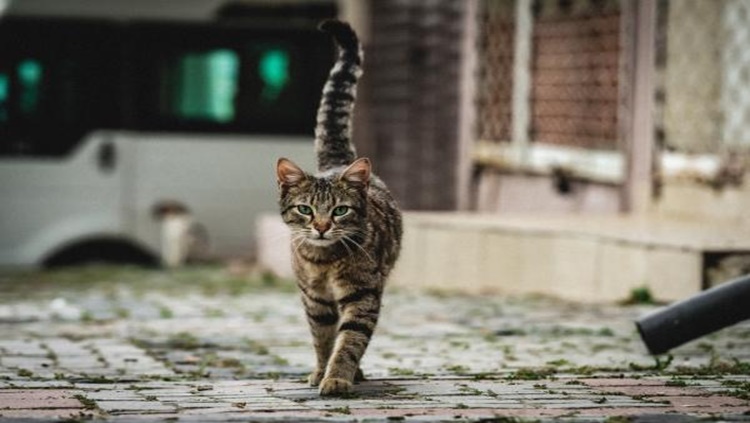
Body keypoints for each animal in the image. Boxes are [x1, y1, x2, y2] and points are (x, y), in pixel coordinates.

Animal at [276, 19, 402, 398]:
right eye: (305, 209)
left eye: (340, 211)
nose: (320, 226)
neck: (324, 262)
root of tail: (338, 162)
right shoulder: (315, 300)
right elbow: (323, 338)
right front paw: (321, 371)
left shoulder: (363, 294)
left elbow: (350, 340)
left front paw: (337, 377)